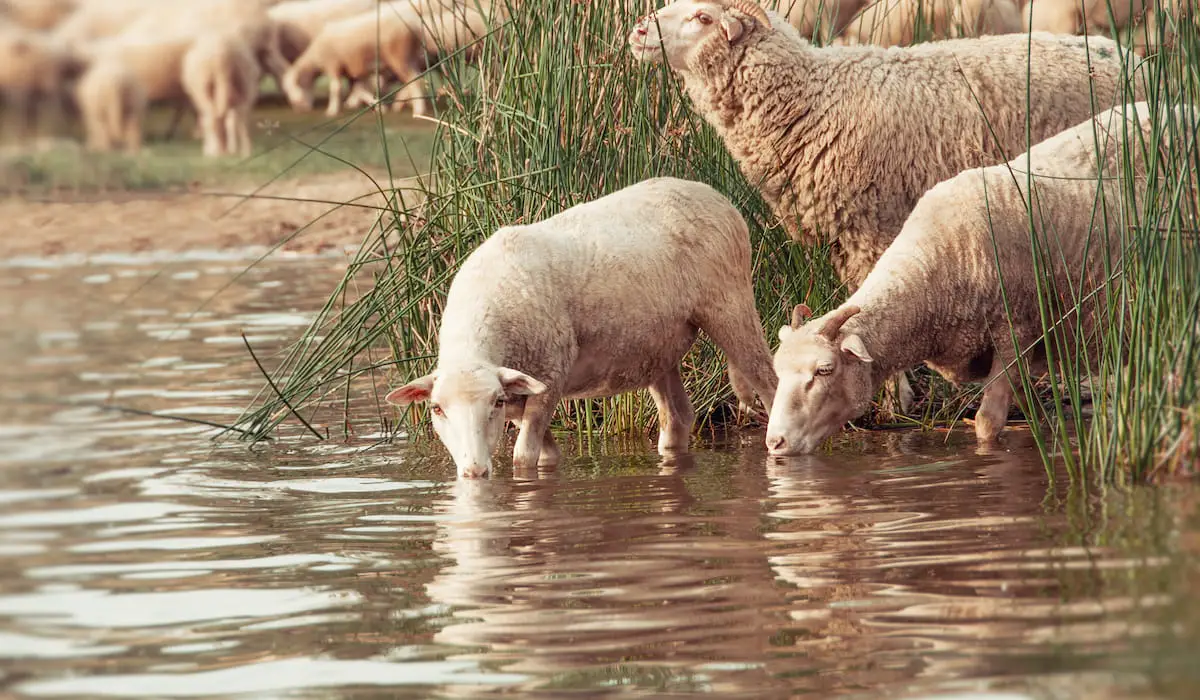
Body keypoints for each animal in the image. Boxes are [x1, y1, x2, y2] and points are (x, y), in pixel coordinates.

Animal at [383, 177, 779, 478]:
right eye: (436, 409)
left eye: (495, 402)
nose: (474, 471)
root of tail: (710, 192)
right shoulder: (526, 394)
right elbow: (545, 456)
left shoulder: (549, 378)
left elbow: (522, 459)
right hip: (657, 345)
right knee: (679, 416)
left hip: (730, 305)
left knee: (770, 384)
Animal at [627, 0, 1141, 416]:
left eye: (702, 17)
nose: (636, 30)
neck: (809, 98)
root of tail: (1128, 56)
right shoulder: (845, 232)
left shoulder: (870, 225)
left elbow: (871, 304)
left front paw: (894, 397)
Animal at [762, 101, 1195, 455]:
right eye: (778, 372)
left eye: (824, 371)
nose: (774, 442)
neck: (930, 275)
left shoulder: (1015, 330)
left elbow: (987, 423)